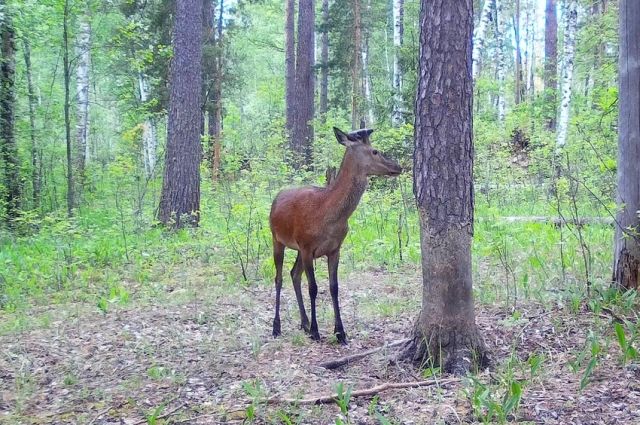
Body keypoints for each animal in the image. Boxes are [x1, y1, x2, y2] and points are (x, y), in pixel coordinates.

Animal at [268, 126, 400, 344]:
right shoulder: (307, 247)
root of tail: (276, 198)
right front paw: (316, 331)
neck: (329, 215)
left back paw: (304, 323)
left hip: (297, 248)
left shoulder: (334, 249)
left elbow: (334, 287)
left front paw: (340, 332)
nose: (397, 166)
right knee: (279, 278)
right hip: (277, 238)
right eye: (375, 151)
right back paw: (277, 327)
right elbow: (313, 288)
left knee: (294, 274)